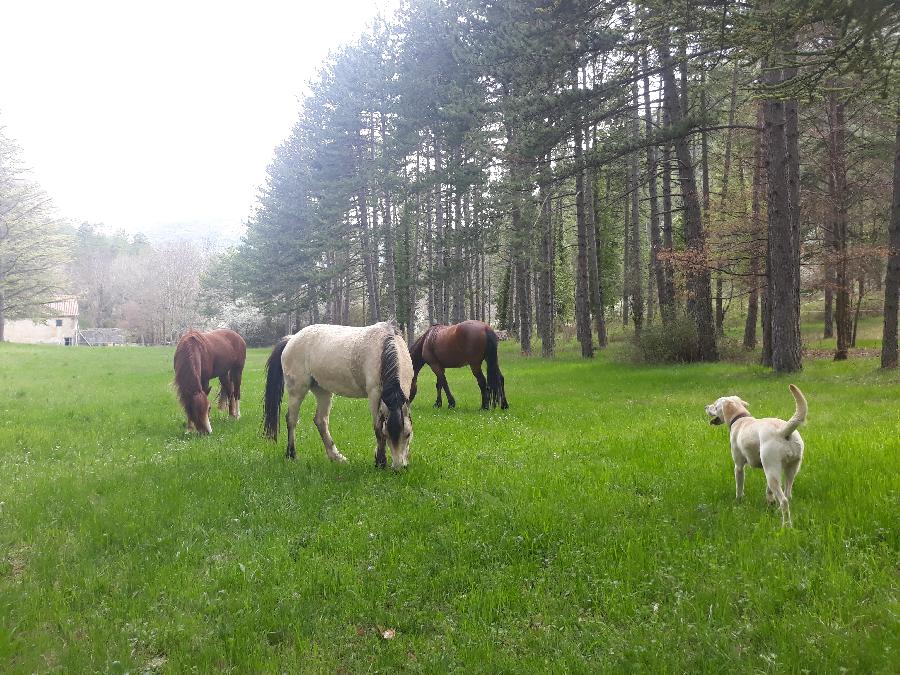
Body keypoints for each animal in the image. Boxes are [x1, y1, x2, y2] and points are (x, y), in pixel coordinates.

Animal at [260, 322, 414, 470]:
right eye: (387, 434)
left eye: (408, 434)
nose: (399, 468)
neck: (383, 347)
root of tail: (292, 339)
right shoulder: (374, 394)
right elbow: (377, 428)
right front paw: (380, 463)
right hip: (297, 390)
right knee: (291, 419)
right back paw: (291, 455)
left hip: (322, 391)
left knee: (320, 421)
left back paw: (336, 457)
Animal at [712, 386, 808, 528]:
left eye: (714, 406)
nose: (705, 407)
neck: (740, 418)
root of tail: (783, 431)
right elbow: (768, 491)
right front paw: (770, 501)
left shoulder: (739, 467)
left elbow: (739, 487)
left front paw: (738, 501)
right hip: (790, 470)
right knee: (788, 495)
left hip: (772, 472)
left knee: (784, 501)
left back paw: (786, 525)